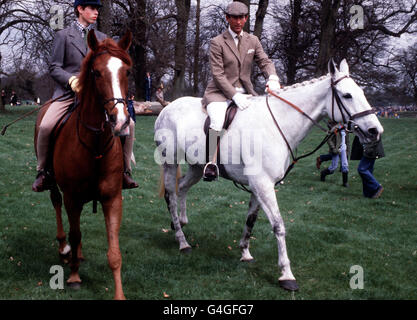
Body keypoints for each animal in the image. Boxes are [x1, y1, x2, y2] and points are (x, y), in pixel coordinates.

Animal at [35, 30, 133, 300]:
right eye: (96, 73)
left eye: (127, 72)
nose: (120, 121)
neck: (95, 142)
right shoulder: (72, 196)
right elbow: (75, 232)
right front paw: (74, 277)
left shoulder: (113, 198)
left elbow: (114, 250)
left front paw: (119, 294)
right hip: (55, 186)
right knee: (57, 206)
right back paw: (64, 249)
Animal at [154, 58, 384, 292]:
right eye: (347, 95)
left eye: (361, 92)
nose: (375, 131)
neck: (277, 123)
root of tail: (167, 107)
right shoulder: (263, 185)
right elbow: (278, 225)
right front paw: (286, 274)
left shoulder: (260, 186)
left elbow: (251, 219)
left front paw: (245, 252)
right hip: (170, 162)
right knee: (171, 196)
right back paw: (182, 241)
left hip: (197, 167)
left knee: (182, 187)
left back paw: (180, 222)